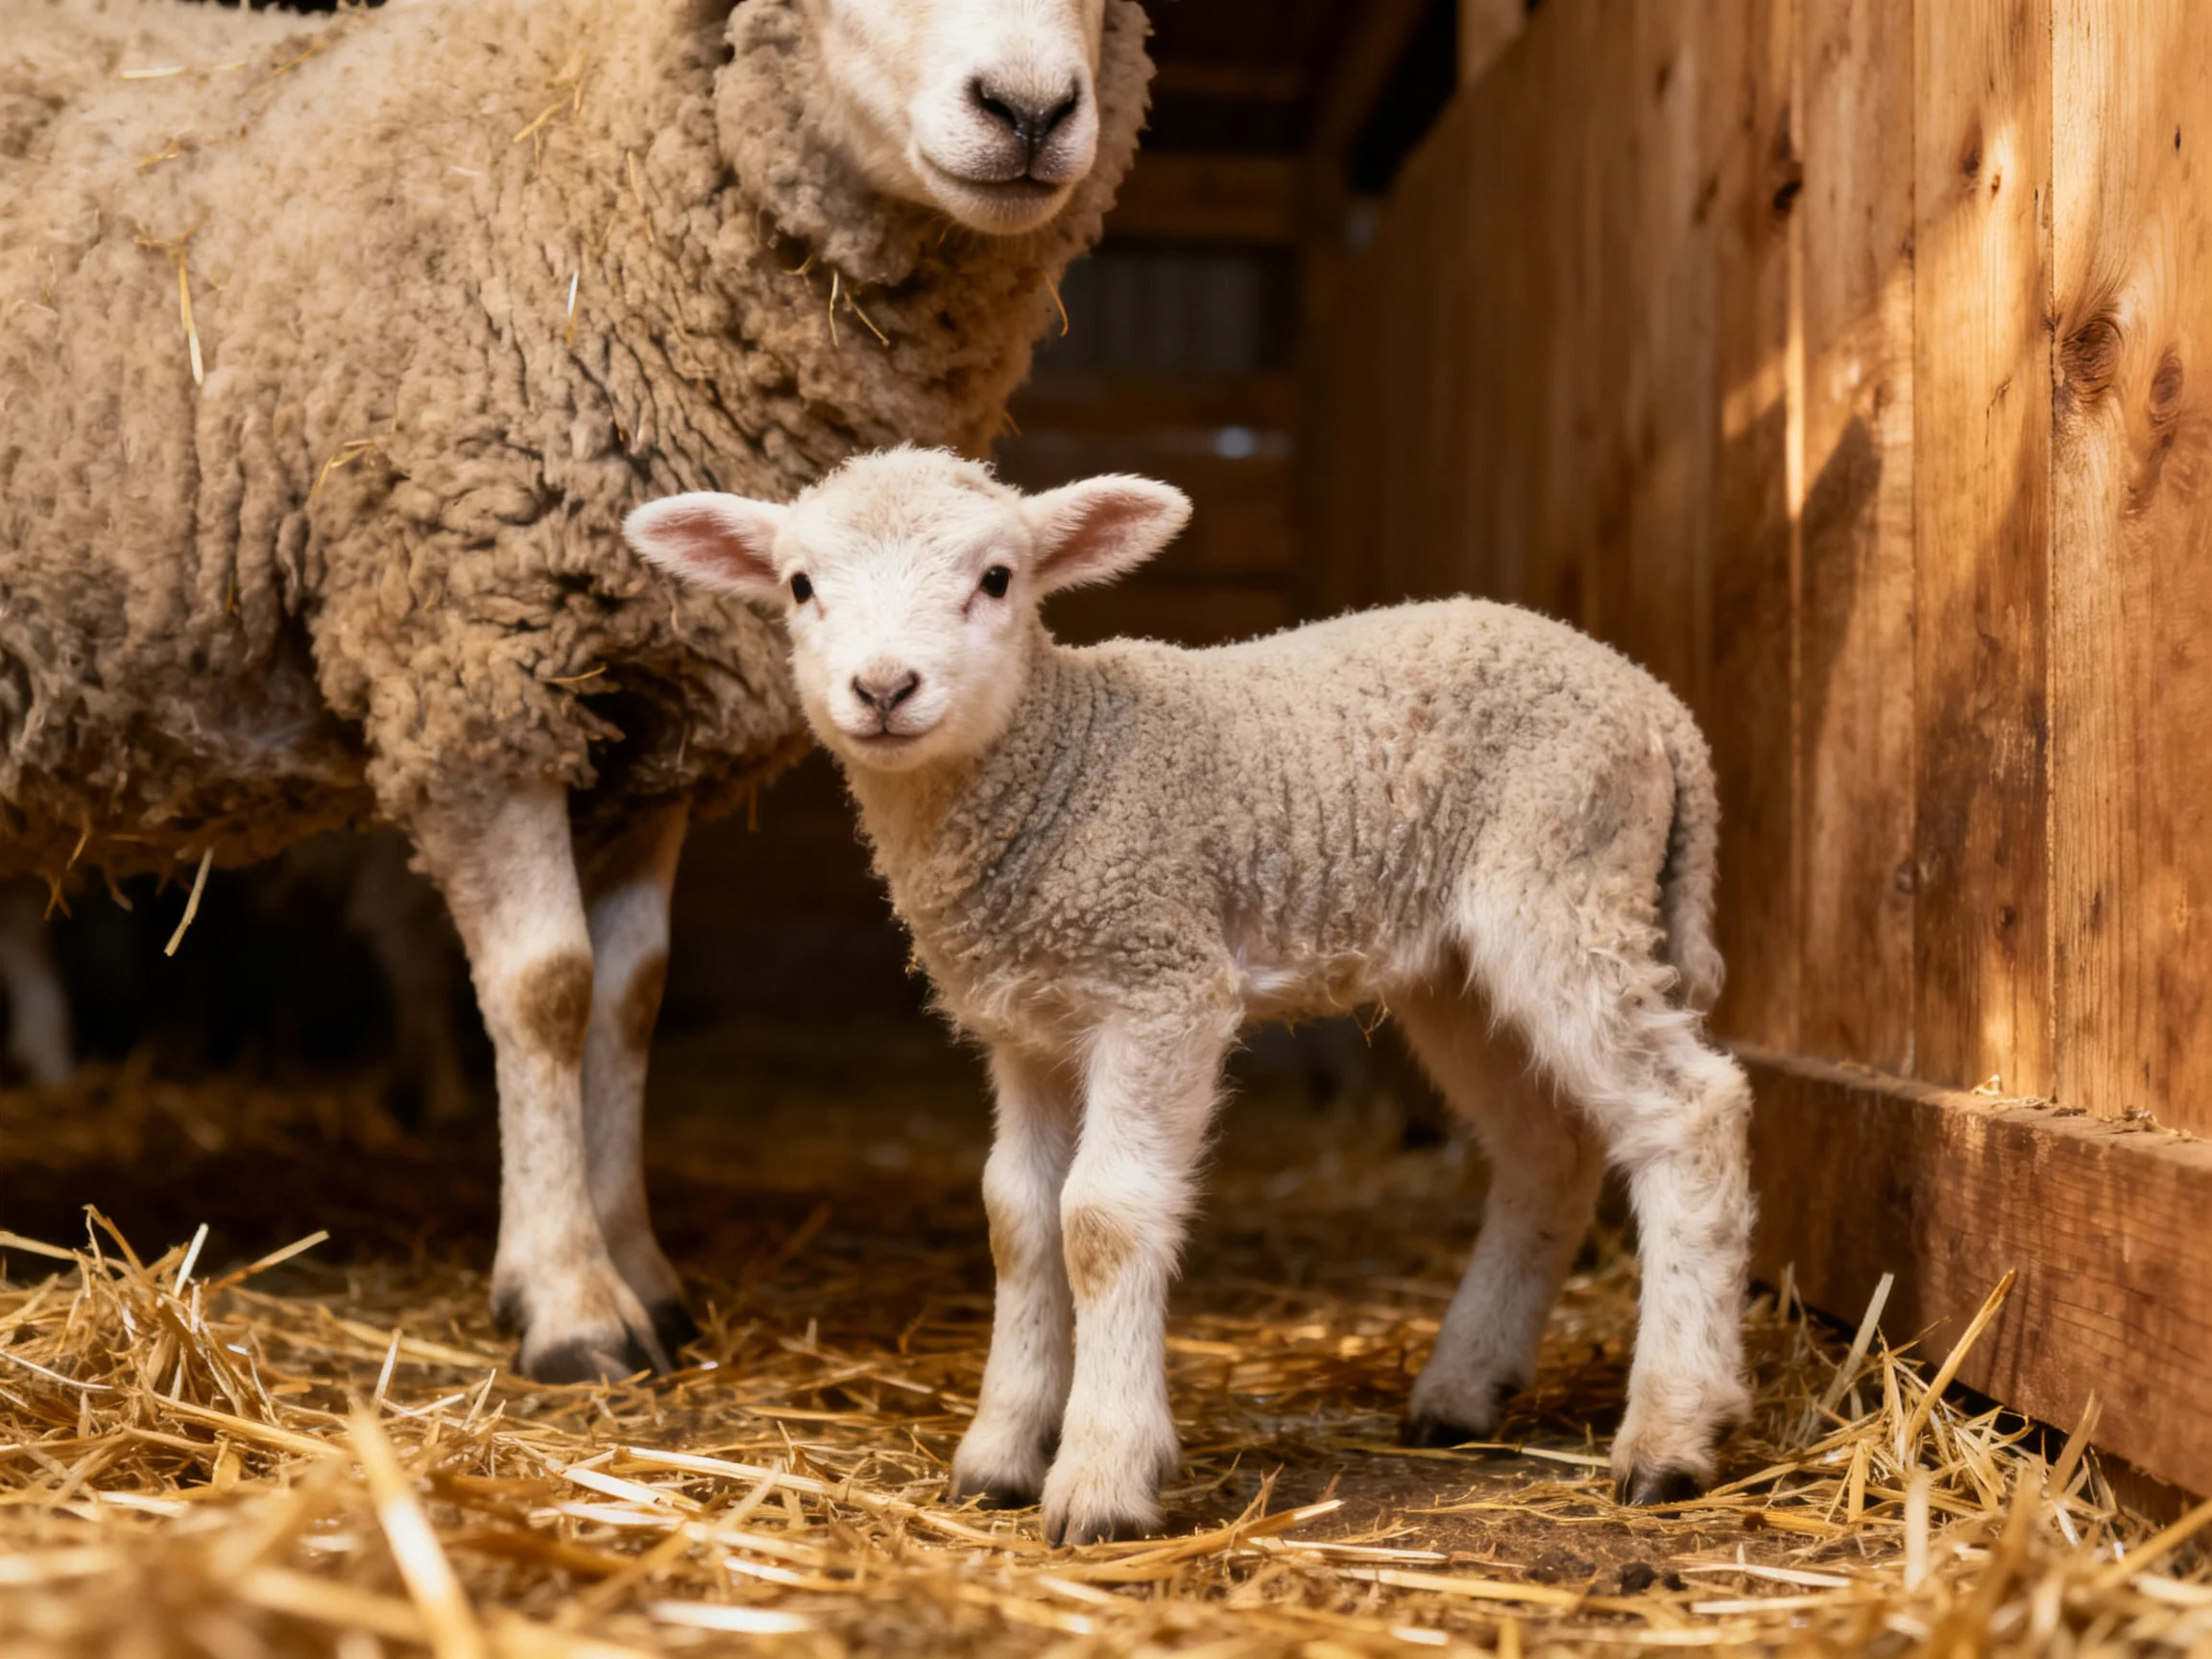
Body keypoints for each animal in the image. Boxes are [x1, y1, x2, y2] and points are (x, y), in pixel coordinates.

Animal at [0, 0, 1151, 1381]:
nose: (1029, 111)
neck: (595, 176)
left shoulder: (642, 720)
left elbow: (629, 997)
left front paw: (642, 1271)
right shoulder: (473, 680)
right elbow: (547, 990)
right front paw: (568, 1300)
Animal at [626, 447, 1756, 1544]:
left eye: (997, 579)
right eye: (799, 585)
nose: (884, 686)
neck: (1058, 762)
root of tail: (1652, 700)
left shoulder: (1159, 986)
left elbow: (1101, 1218)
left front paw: (1100, 1478)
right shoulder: (1027, 1024)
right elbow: (1017, 1216)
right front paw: (999, 1454)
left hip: (1565, 879)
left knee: (1687, 1110)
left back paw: (1670, 1434)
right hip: (1458, 965)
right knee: (1545, 1146)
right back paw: (1463, 1389)